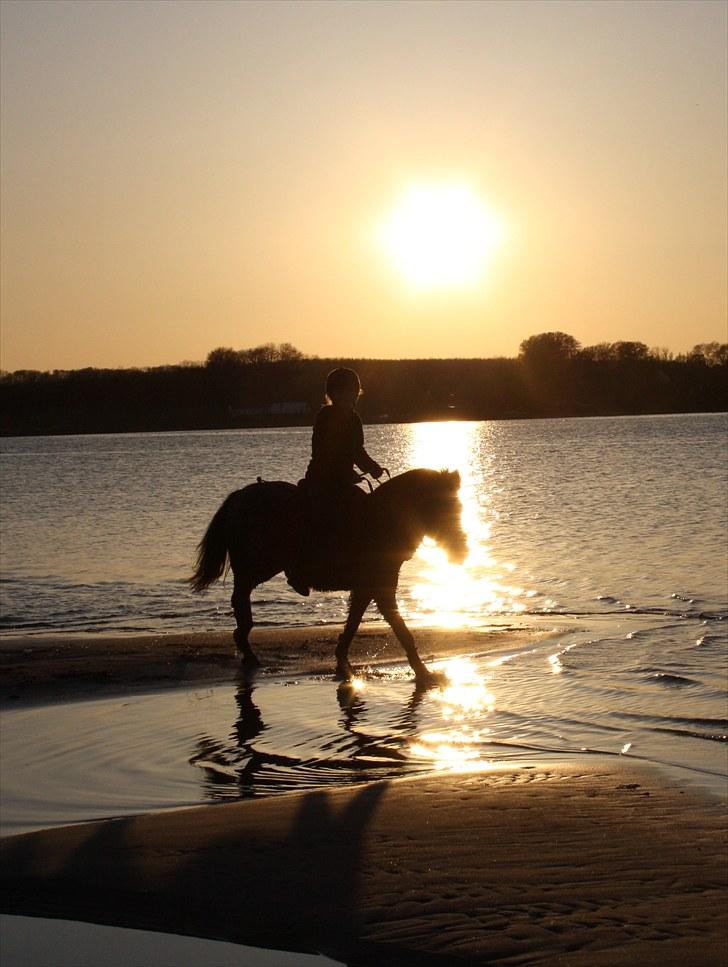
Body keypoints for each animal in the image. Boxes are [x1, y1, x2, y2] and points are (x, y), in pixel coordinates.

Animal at [189, 468, 466, 688]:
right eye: (443, 507)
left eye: (458, 508)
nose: (461, 550)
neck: (385, 519)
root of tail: (239, 497)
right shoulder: (380, 587)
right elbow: (400, 628)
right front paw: (423, 672)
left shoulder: (367, 588)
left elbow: (354, 622)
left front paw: (342, 658)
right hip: (256, 567)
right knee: (240, 598)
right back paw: (246, 646)